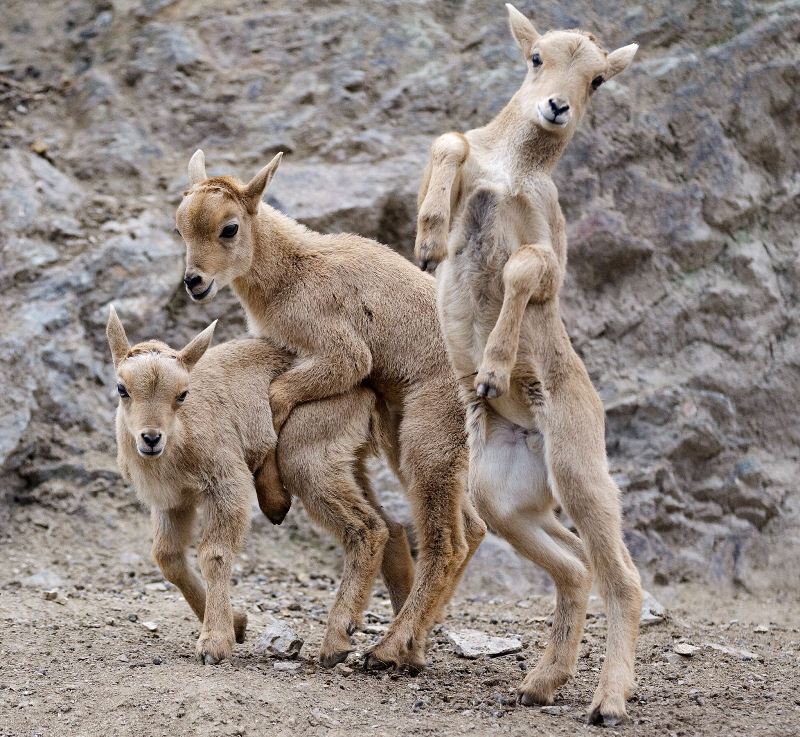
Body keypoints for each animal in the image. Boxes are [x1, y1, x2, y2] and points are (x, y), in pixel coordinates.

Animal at [104, 304, 412, 668]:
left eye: (182, 394)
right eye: (122, 388)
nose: (151, 439)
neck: (181, 439)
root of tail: (368, 388)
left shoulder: (227, 484)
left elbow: (214, 554)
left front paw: (214, 642)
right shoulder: (173, 501)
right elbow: (167, 557)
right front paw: (237, 624)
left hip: (311, 458)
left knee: (368, 528)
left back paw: (338, 639)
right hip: (348, 463)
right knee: (392, 527)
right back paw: (405, 646)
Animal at [176, 155, 488, 672]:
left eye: (229, 227)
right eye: (180, 226)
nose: (195, 282)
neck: (294, 275)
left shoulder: (343, 356)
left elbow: (278, 398)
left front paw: (275, 501)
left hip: (429, 437)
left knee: (447, 542)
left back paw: (382, 649)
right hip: (411, 442)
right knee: (472, 528)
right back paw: (411, 648)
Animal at [412, 1, 644, 724]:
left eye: (598, 78)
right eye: (536, 56)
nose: (556, 107)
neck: (513, 175)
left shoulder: (549, 245)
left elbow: (524, 267)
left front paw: (491, 369)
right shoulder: (467, 164)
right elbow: (449, 141)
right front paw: (429, 237)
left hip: (579, 471)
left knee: (622, 577)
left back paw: (606, 700)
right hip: (503, 499)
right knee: (574, 566)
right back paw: (538, 682)